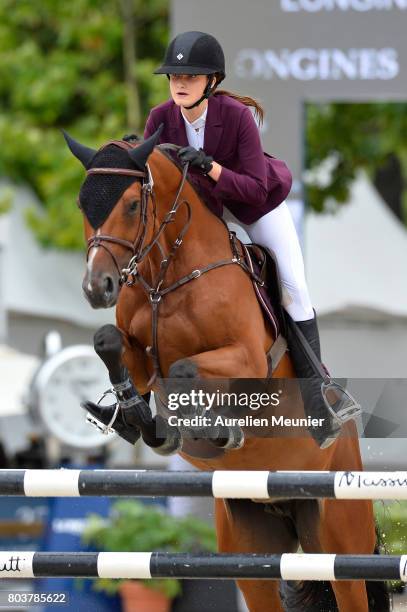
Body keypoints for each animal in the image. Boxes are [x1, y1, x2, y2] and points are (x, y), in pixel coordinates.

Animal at [63, 126, 388, 608]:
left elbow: (185, 371)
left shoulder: (249, 358)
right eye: (83, 204)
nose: (96, 287)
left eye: (133, 204)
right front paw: (139, 420)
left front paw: (213, 427)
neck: (168, 277)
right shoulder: (140, 357)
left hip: (340, 541)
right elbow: (110, 343)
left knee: (350, 581)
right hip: (251, 553)